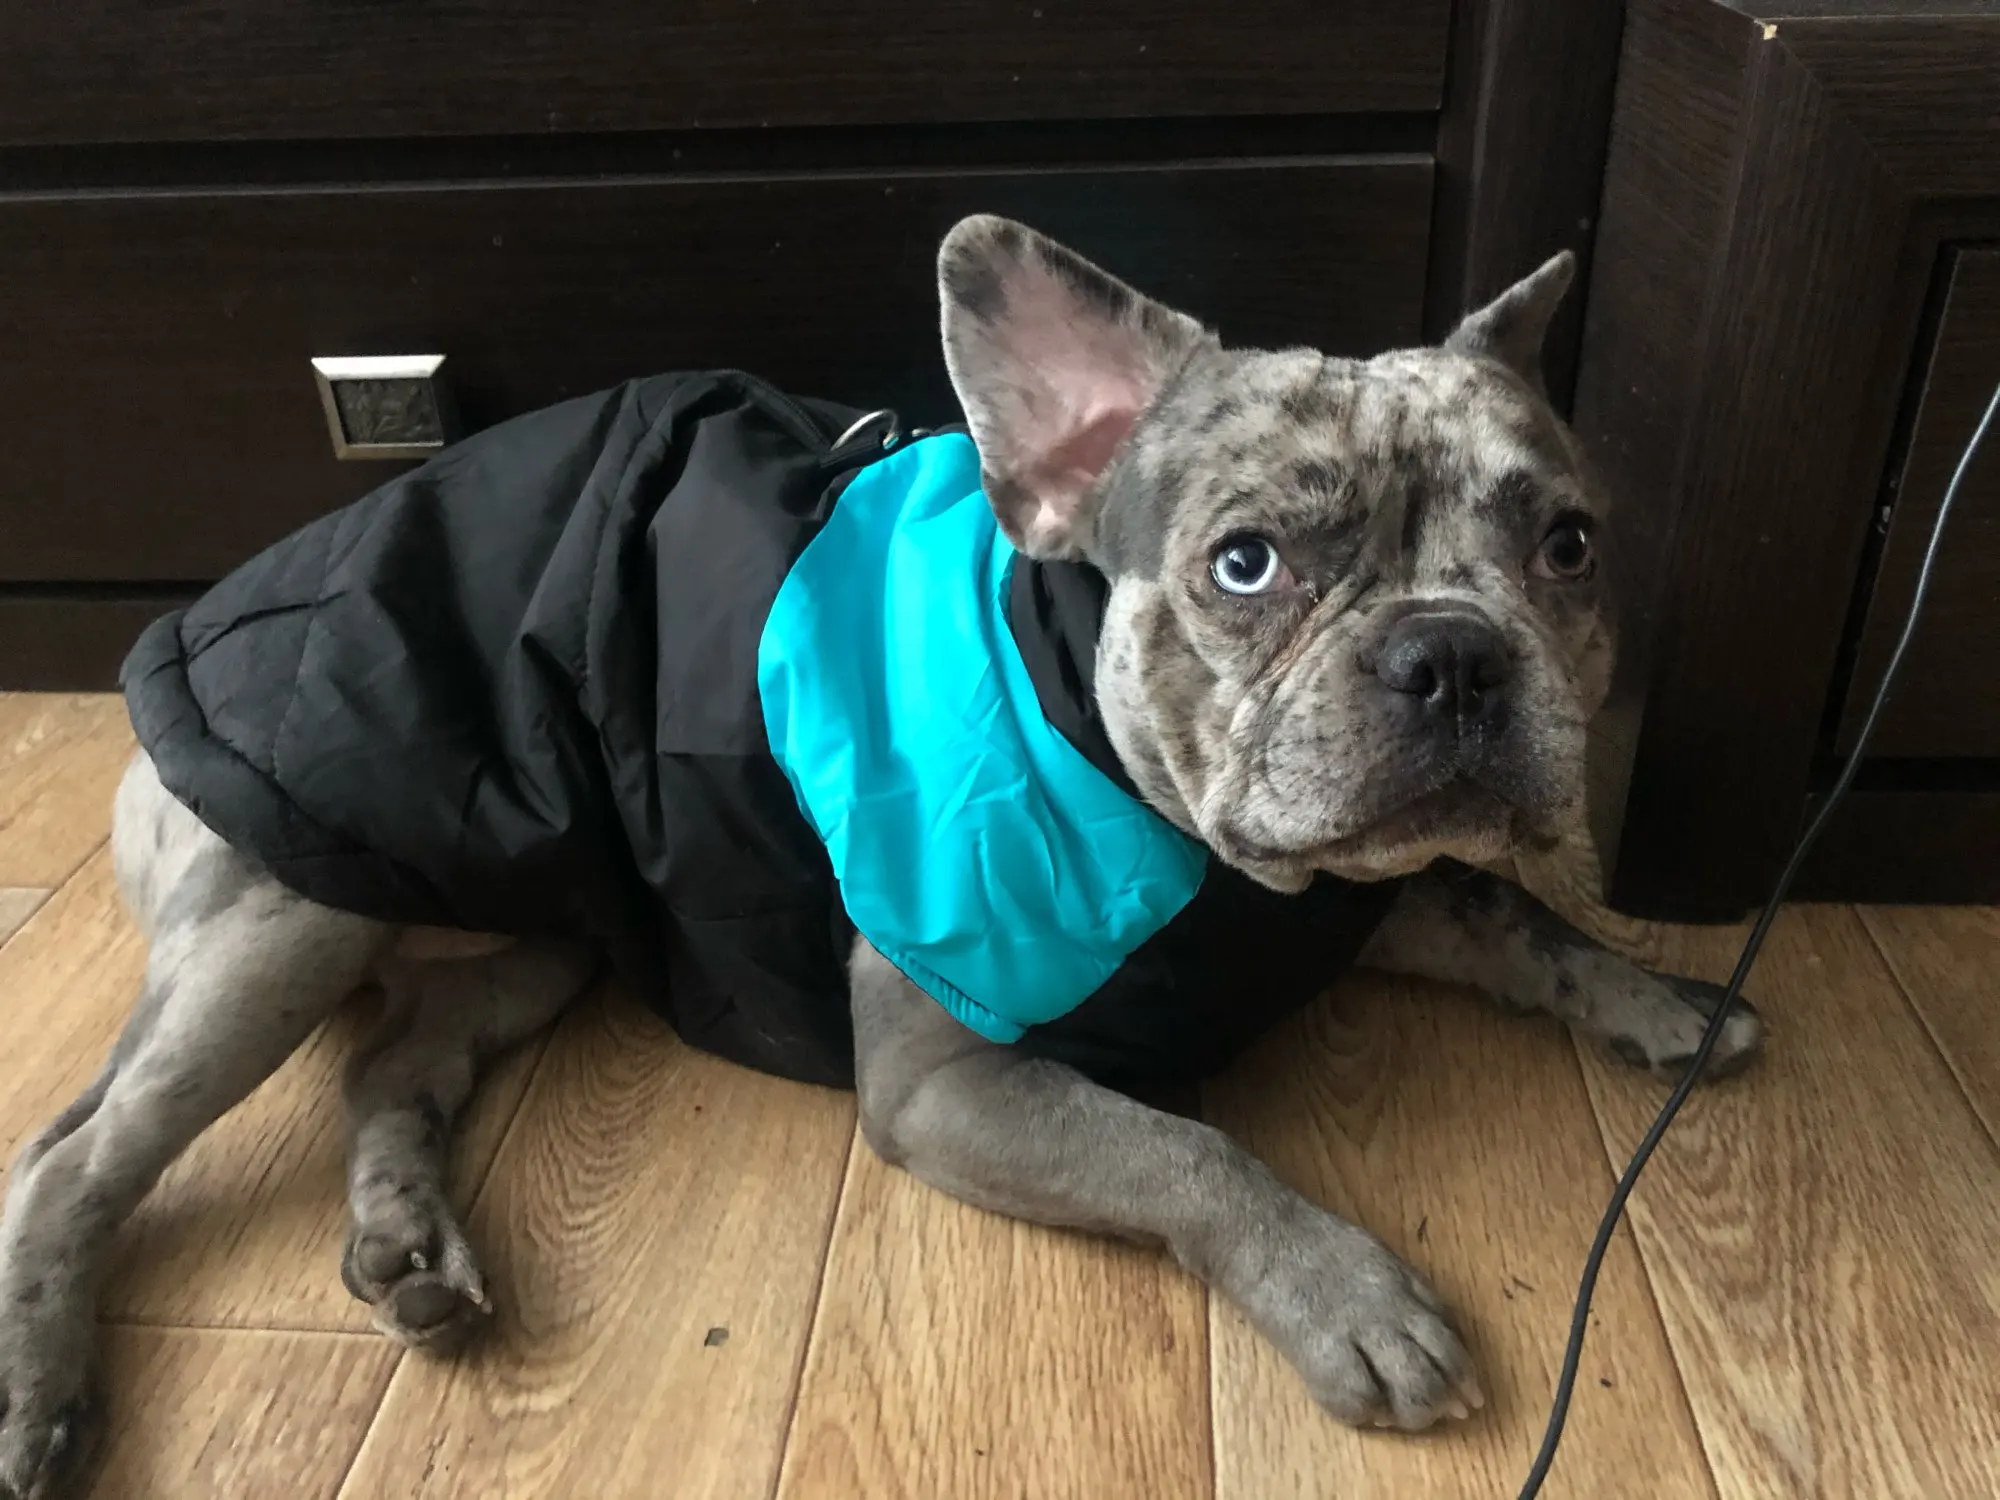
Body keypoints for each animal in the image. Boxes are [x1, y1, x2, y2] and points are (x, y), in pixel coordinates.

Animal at [0, 216, 1764, 1496]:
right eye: (1246, 565)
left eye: (1570, 545)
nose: (1453, 655)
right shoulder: (952, 1080)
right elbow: (1184, 1154)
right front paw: (1344, 1291)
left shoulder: (1351, 880)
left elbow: (1499, 905)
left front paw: (1656, 997)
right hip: (288, 909)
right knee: (71, 1159)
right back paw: (46, 1385)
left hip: (537, 927)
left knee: (400, 1058)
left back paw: (407, 1240)